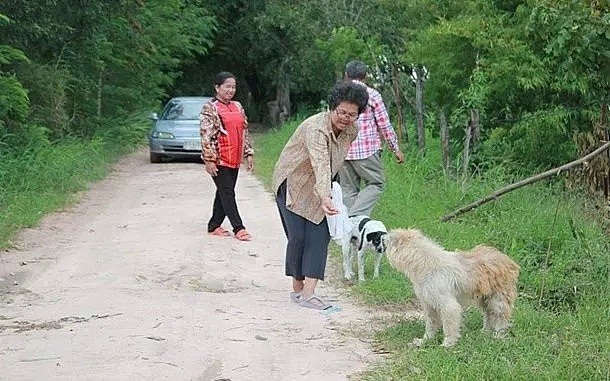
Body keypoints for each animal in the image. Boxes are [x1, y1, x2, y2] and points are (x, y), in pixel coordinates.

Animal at [384, 227, 516, 346]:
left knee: (500, 318)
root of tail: (506, 259)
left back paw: (497, 336)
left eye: (390, 239)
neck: (427, 264)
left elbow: (448, 326)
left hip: (499, 300)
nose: (383, 237)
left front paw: (448, 344)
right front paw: (425, 340)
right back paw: (484, 332)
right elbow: (430, 324)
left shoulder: (448, 306)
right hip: (485, 299)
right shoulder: (428, 304)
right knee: (488, 315)